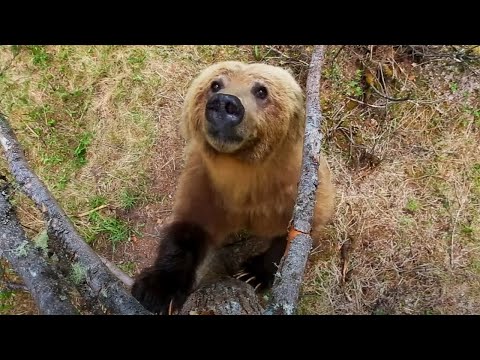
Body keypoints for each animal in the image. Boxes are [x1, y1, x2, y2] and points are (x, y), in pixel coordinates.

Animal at [129, 60, 336, 314]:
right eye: (215, 84)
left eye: (261, 90)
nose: (224, 103)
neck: (243, 176)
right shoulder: (206, 185)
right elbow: (188, 230)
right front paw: (156, 289)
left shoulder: (292, 191)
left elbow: (295, 234)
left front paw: (252, 273)